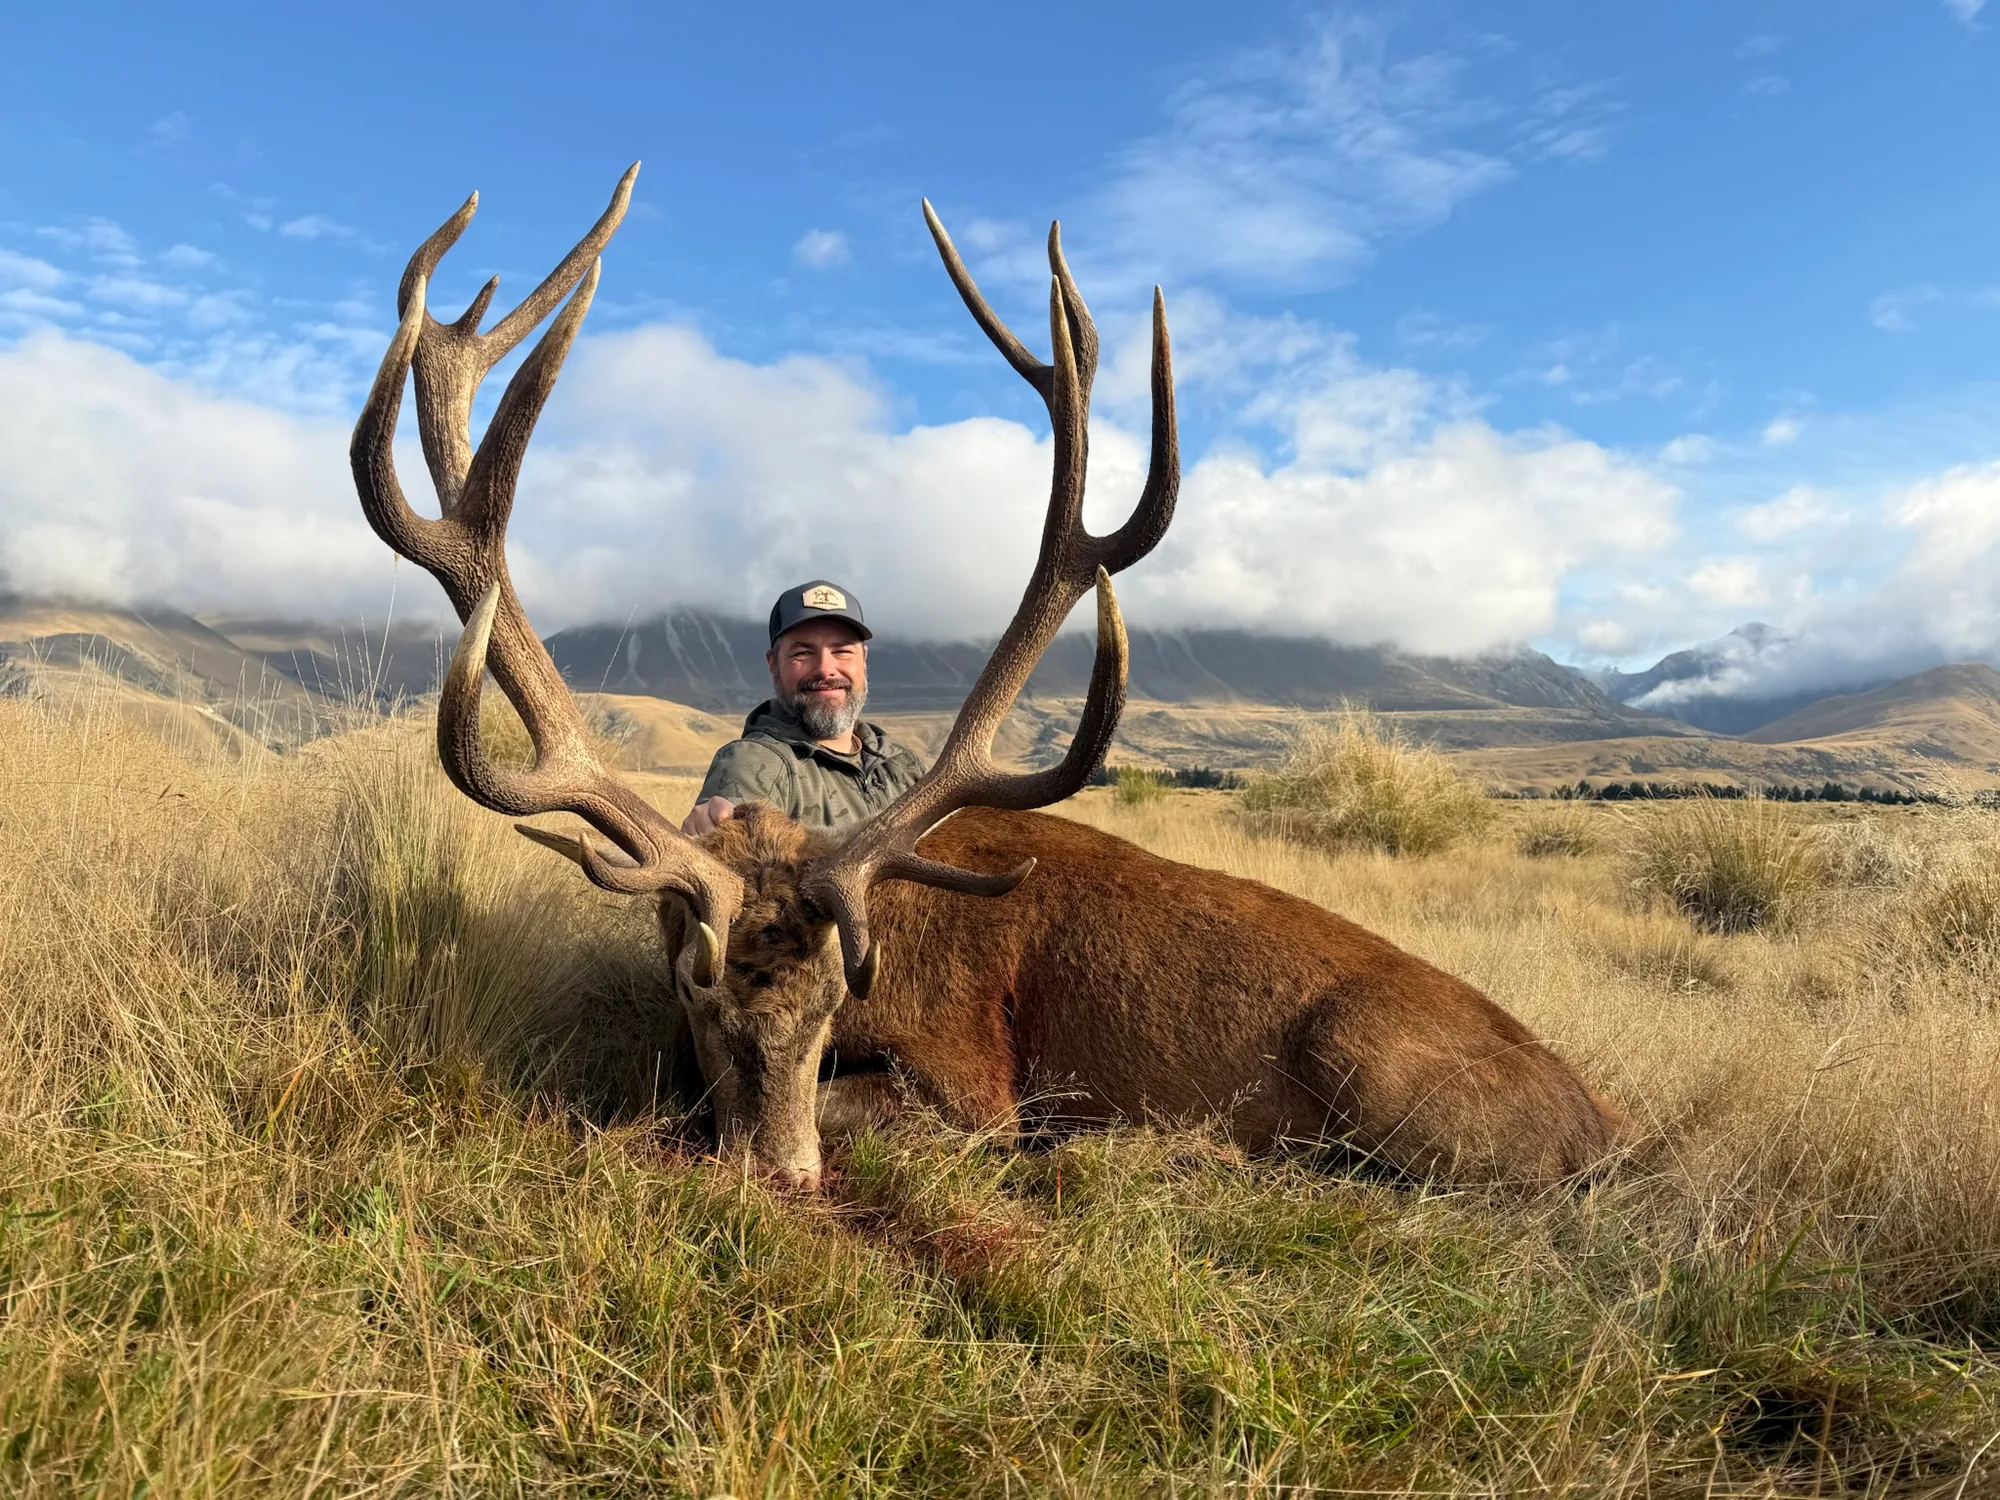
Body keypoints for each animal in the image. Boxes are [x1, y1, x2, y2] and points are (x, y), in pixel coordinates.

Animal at [350, 164, 1630, 1194]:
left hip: (1375, 1068)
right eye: (700, 1002)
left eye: (835, 1007)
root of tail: (1603, 1130)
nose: (778, 1170)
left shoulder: (972, 1085)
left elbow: (891, 1113)